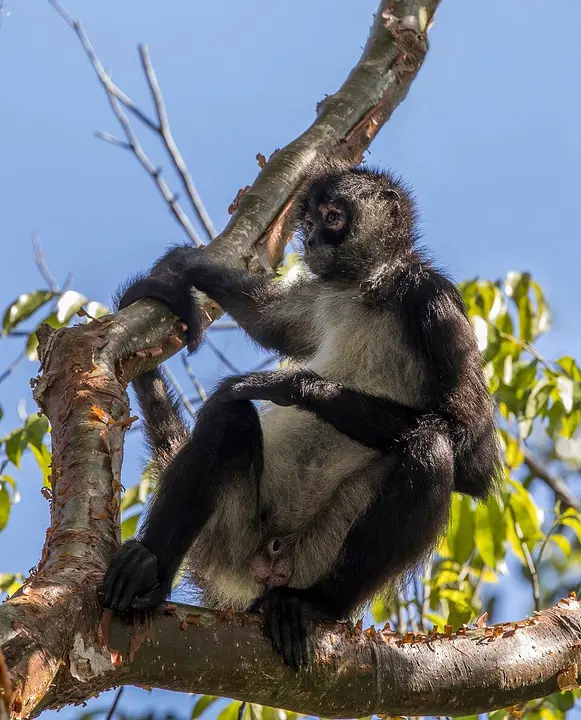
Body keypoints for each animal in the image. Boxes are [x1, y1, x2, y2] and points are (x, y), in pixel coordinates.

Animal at [101, 160, 501, 669]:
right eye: (307, 222)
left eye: (332, 217)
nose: (308, 241)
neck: (368, 290)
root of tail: (269, 561)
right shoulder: (325, 293)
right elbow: (268, 322)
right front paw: (187, 264)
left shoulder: (433, 300)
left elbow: (475, 457)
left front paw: (287, 386)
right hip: (233, 535)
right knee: (229, 423)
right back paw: (150, 570)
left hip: (317, 555)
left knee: (431, 448)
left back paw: (313, 604)